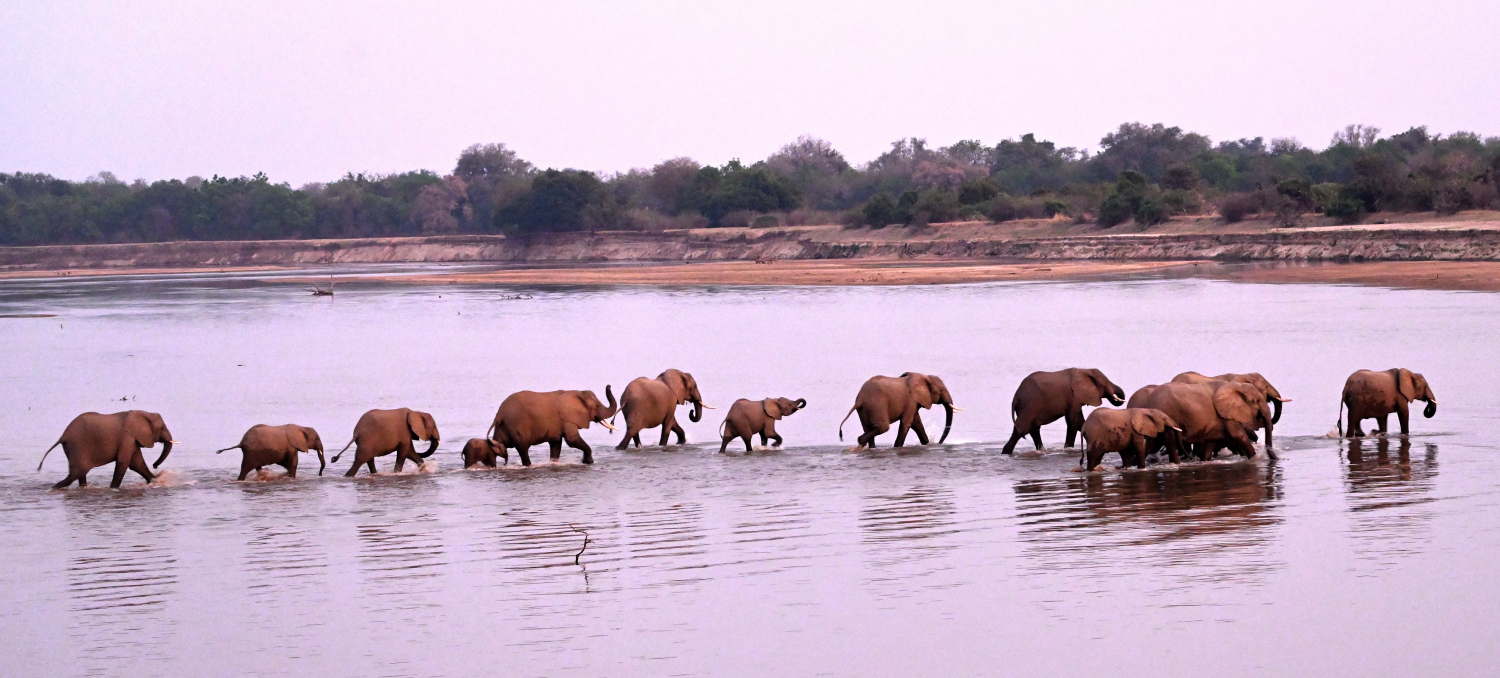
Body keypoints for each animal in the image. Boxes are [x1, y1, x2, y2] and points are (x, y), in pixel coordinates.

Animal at [38, 408, 177, 486]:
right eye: (162, 428)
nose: (155, 465)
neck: (143, 413)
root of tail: (63, 436)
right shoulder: (127, 437)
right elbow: (123, 462)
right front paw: (113, 488)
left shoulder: (132, 439)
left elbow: (136, 463)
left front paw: (155, 481)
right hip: (77, 447)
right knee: (77, 472)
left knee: (79, 474)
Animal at [486, 387, 615, 465]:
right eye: (597, 406)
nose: (609, 385)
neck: (577, 392)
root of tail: (499, 414)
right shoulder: (567, 419)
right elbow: (571, 440)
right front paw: (588, 462)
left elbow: (556, 443)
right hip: (516, 426)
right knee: (523, 448)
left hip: (502, 427)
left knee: (496, 447)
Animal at [1128, 381, 1278, 462]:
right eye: (1256, 401)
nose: (1276, 458)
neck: (1235, 385)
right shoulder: (1226, 414)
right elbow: (1239, 436)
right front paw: (1255, 459)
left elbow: (1211, 443)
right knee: (1168, 441)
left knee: (1154, 443)